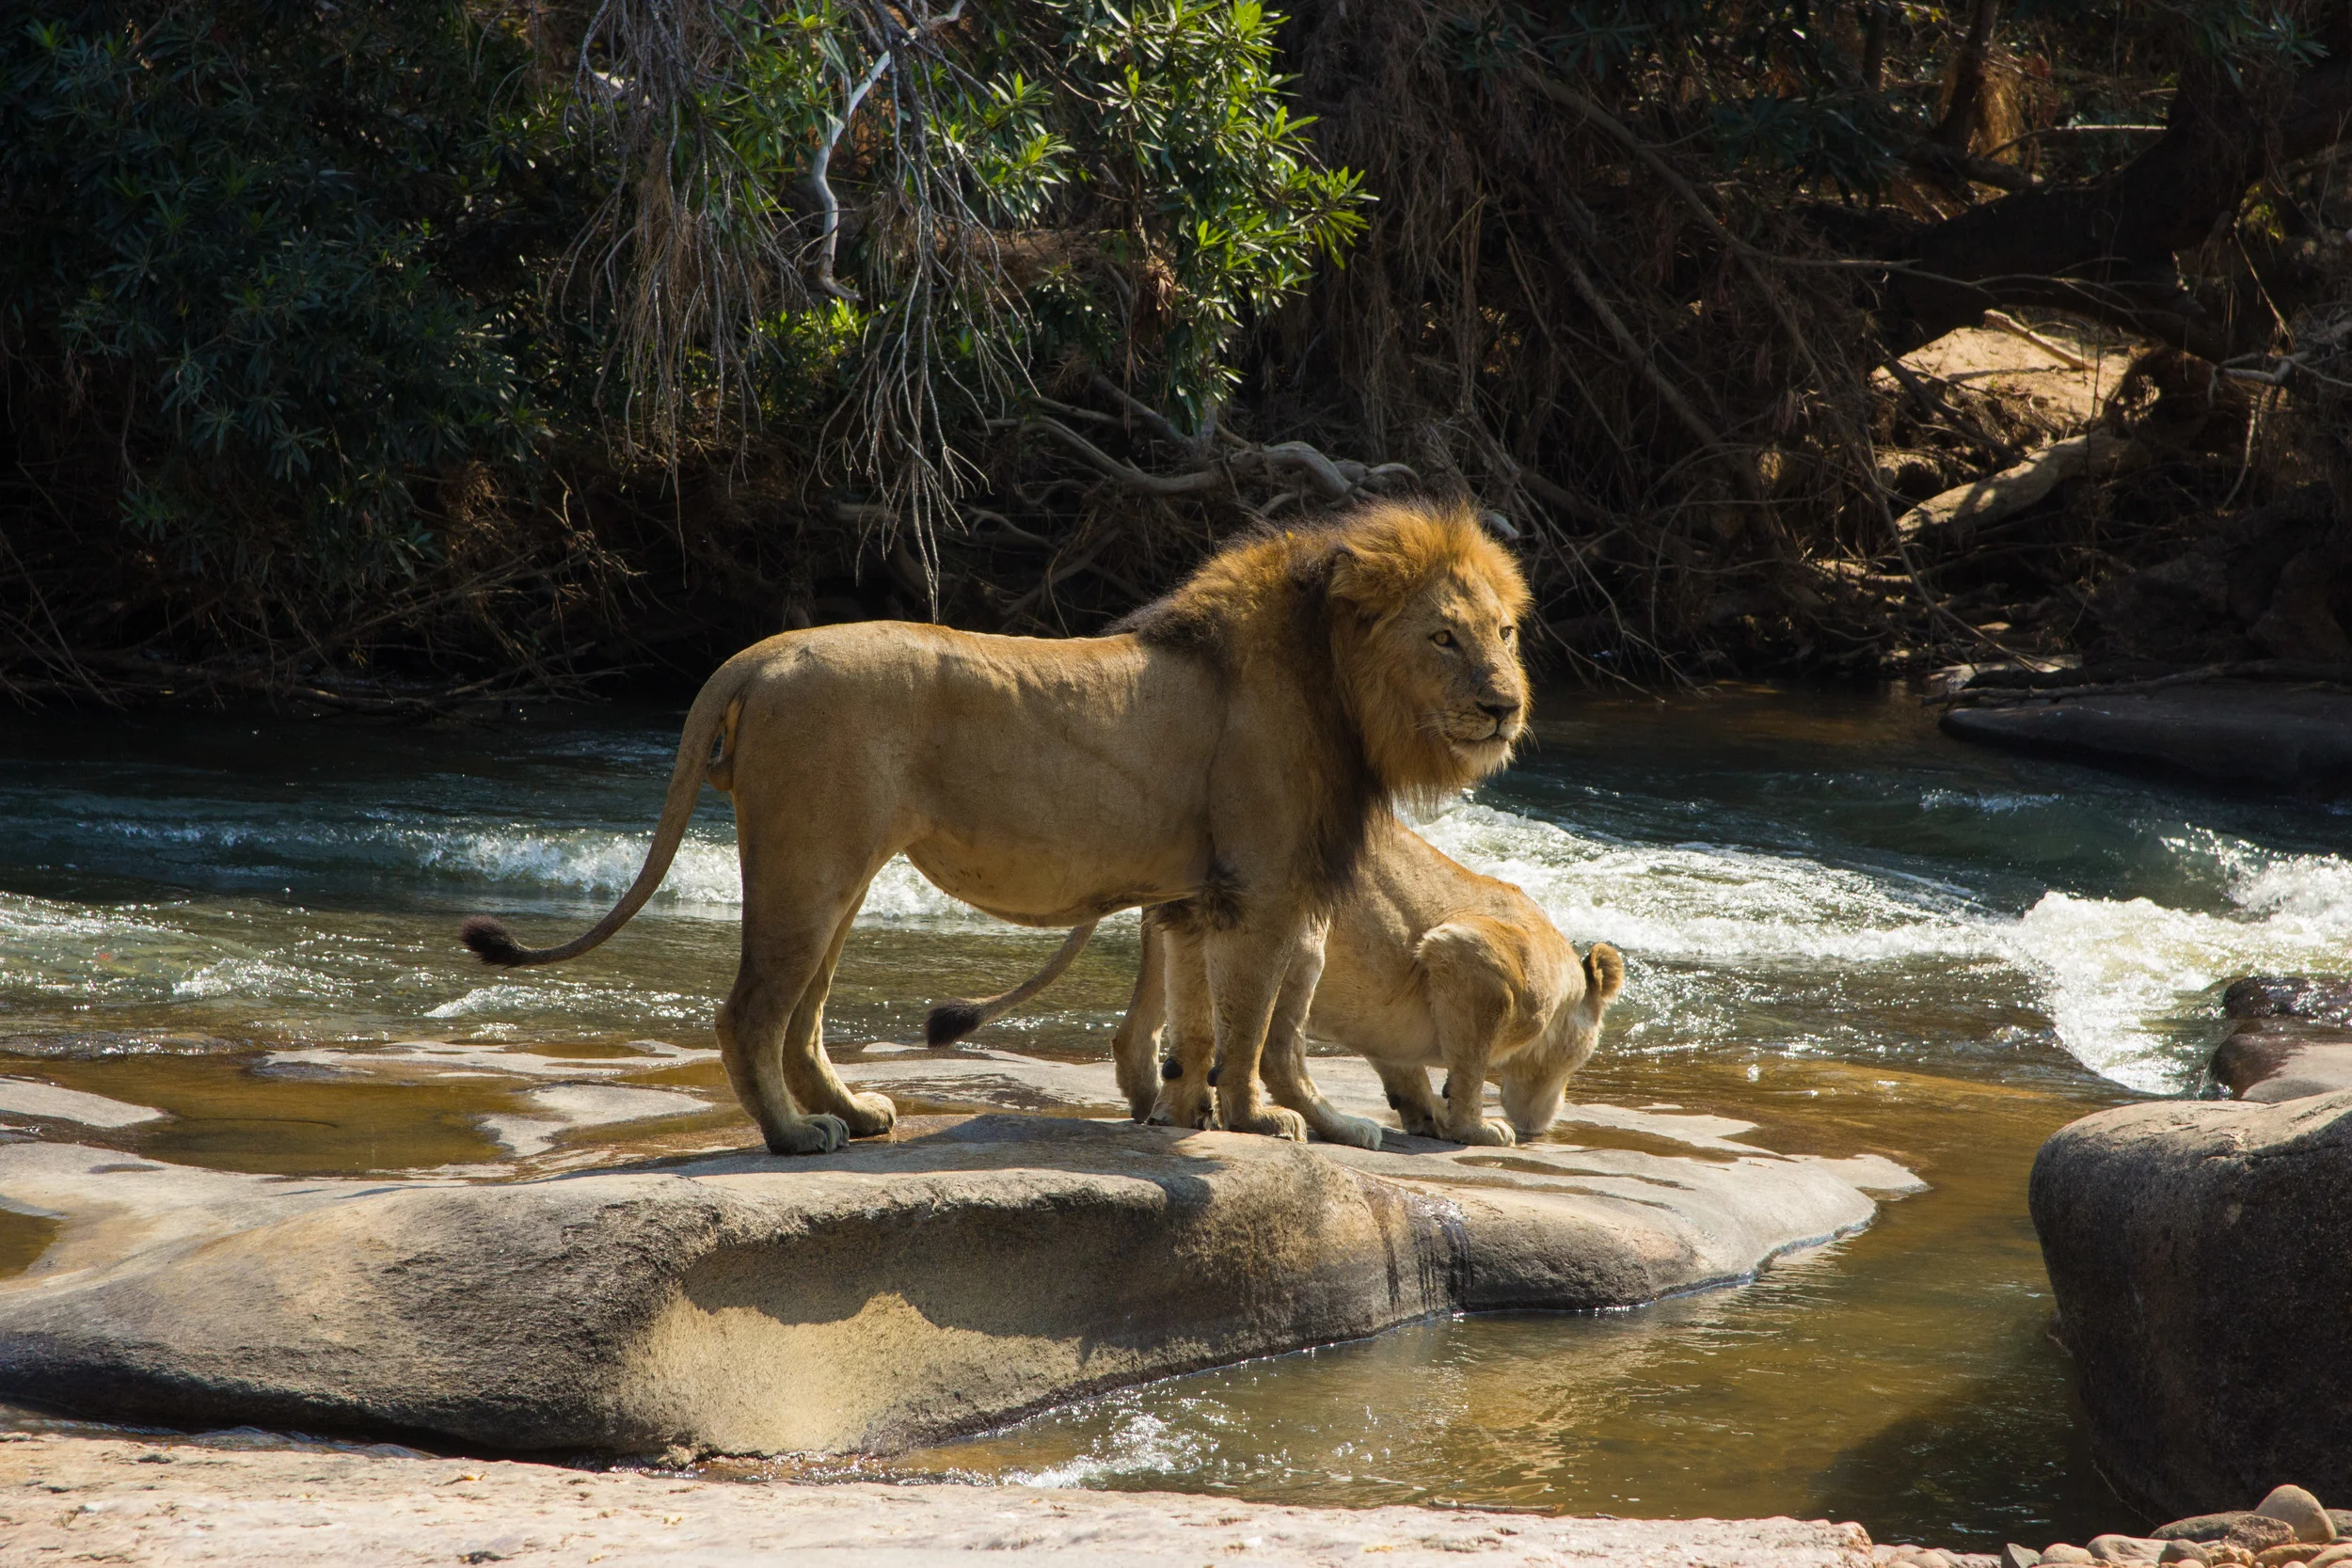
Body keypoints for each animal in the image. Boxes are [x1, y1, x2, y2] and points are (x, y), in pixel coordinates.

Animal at [457, 499, 1531, 1155]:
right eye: (1443, 636)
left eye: (1505, 631)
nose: (1506, 705)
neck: (1337, 686)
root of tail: (761, 653)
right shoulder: (1264, 890)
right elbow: (1259, 1019)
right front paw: (1263, 1121)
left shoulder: (1196, 896)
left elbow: (1194, 1016)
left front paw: (1186, 1112)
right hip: (811, 862)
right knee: (750, 1012)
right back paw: (795, 1135)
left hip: (838, 873)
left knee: (802, 1017)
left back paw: (854, 1111)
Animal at [928, 813, 1625, 1147]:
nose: (1546, 1121)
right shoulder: (1467, 956)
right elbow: (1472, 1063)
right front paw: (1473, 1127)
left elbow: (1408, 1068)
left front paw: (1425, 1112)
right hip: (1302, 925)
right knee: (1273, 1053)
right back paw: (1329, 1125)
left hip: (1180, 921)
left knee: (1145, 1035)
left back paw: (1170, 1108)